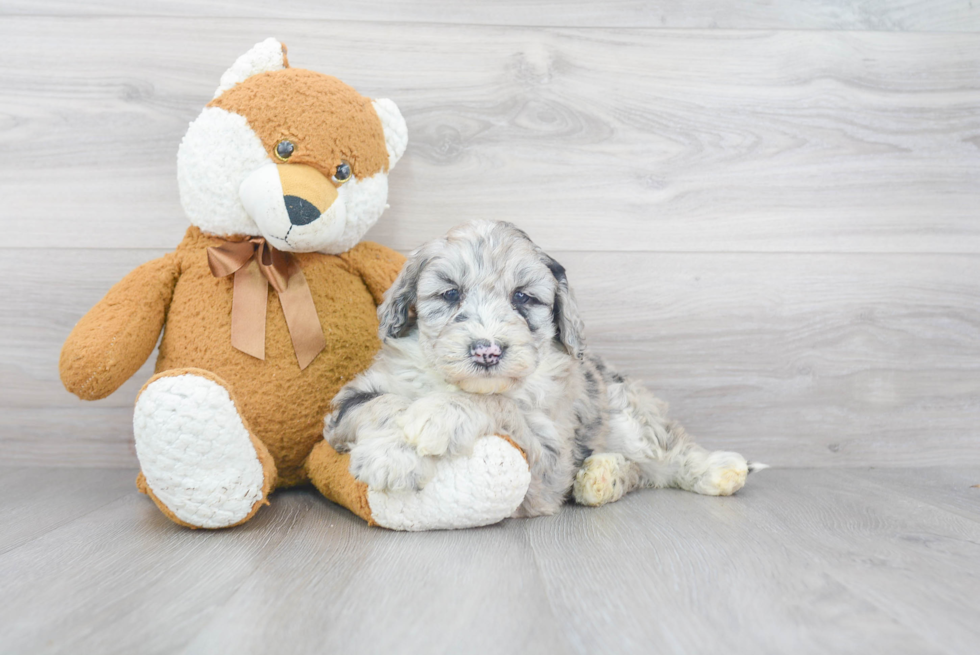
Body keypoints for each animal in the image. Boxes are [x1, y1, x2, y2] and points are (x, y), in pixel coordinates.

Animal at [326, 220, 760, 516]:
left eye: (523, 297)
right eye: (450, 294)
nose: (487, 351)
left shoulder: (549, 464)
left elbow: (500, 404)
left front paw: (437, 416)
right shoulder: (346, 404)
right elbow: (385, 404)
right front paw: (393, 452)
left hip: (628, 412)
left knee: (668, 452)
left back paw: (720, 469)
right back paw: (601, 477)